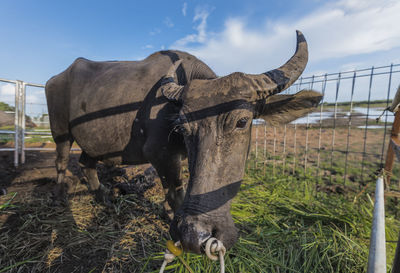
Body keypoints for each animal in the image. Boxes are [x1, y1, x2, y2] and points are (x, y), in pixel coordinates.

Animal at [46, 30, 322, 253]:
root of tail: (56, 78)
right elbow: (174, 190)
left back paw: (103, 195)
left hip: (92, 141)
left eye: (242, 121)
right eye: (182, 126)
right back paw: (59, 198)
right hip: (60, 132)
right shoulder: (160, 154)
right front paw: (175, 221)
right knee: (61, 161)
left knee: (86, 162)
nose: (198, 236)